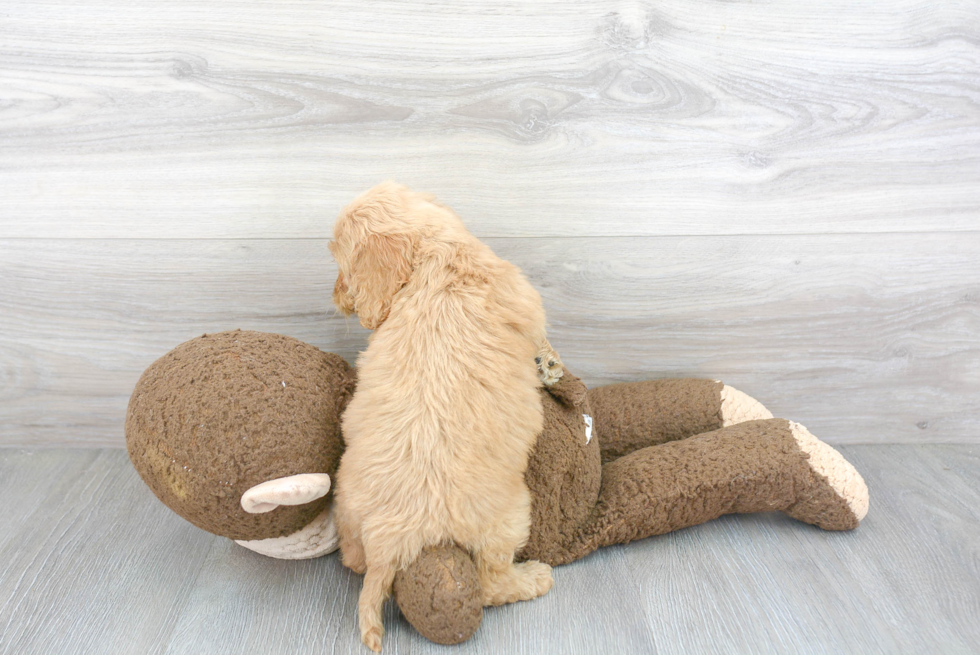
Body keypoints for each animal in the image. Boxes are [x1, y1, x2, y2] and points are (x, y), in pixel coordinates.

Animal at [330, 183, 560, 652]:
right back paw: (533, 578)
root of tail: (394, 541)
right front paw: (548, 363)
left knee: (353, 560)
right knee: (492, 584)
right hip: (510, 517)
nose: (336, 295)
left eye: (344, 267)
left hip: (348, 507)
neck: (437, 256)